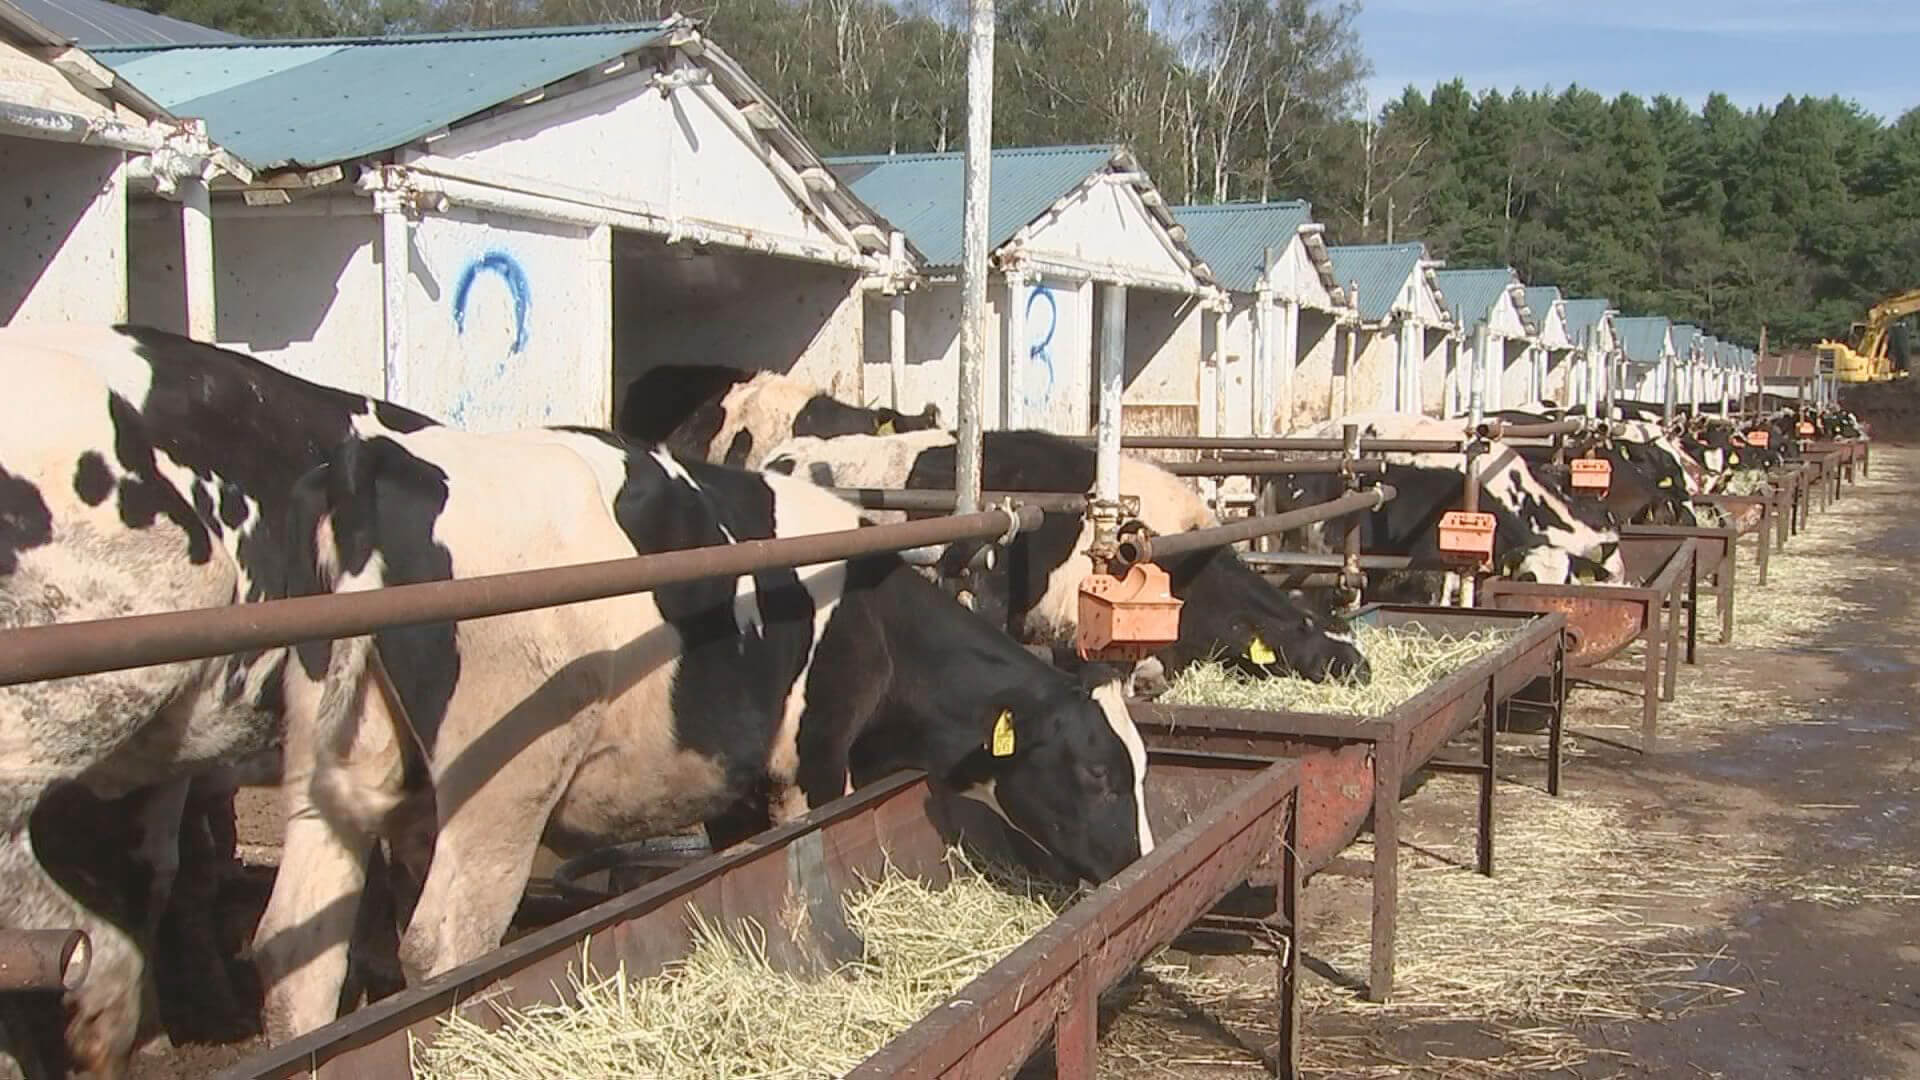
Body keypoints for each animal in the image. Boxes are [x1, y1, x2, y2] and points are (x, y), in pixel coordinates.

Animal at [255, 424, 1152, 1037]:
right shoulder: (814, 758)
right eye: (1101, 774)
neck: (877, 621)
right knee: (444, 947)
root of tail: (374, 456)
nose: (1137, 864)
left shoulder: (733, 783)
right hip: (502, 786)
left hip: (327, 773)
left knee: (293, 961)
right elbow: (809, 872)